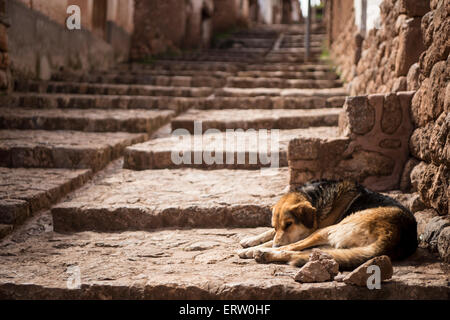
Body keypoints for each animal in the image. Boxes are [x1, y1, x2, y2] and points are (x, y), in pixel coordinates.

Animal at [239, 180, 418, 270]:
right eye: (275, 225)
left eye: (289, 224)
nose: (276, 245)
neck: (314, 197)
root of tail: (394, 235)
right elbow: (269, 234)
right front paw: (250, 241)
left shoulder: (312, 229)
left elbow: (278, 241)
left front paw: (252, 248)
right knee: (305, 253)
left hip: (326, 230)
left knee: (291, 248)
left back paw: (262, 252)